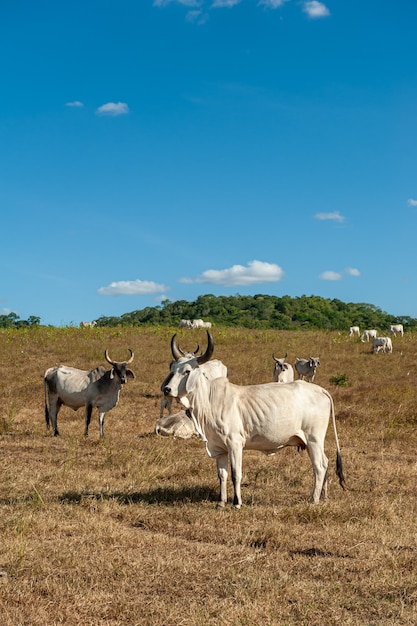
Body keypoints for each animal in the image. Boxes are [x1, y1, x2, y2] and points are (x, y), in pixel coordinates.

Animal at [161, 332, 346, 508]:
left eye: (187, 371)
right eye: (173, 368)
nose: (167, 389)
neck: (209, 399)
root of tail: (320, 390)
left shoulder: (235, 443)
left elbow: (236, 474)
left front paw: (237, 502)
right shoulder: (219, 448)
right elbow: (222, 475)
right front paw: (221, 502)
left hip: (314, 439)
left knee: (320, 466)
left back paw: (314, 499)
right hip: (311, 442)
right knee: (326, 462)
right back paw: (323, 496)